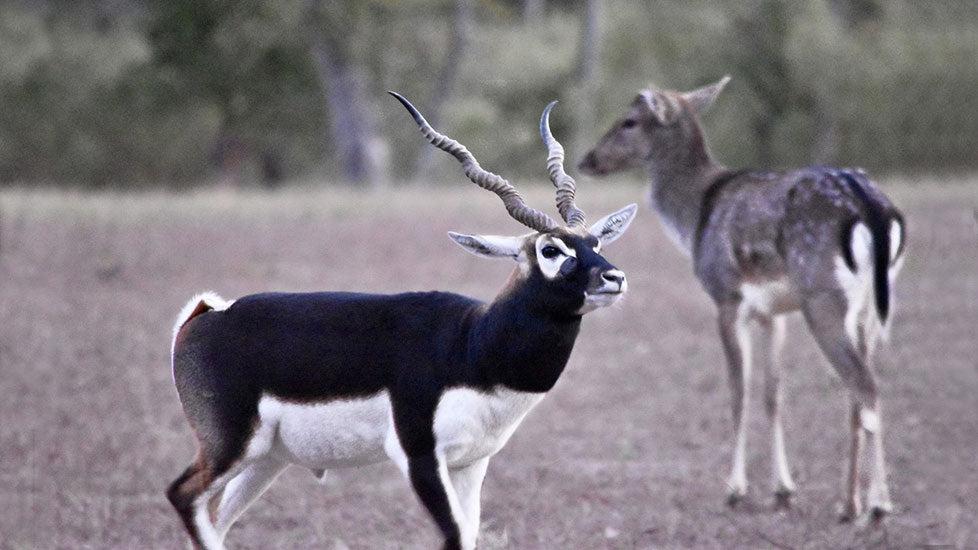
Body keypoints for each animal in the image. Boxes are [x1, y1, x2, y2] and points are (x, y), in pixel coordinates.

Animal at [166, 95, 640, 550]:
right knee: (183, 496)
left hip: (264, 459)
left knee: (214, 519)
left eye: (595, 243)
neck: (473, 346)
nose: (614, 278)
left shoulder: (471, 463)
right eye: (551, 250)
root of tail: (207, 314)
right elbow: (454, 536)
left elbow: (471, 534)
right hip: (230, 445)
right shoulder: (419, 456)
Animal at [576, 76, 904, 520]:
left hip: (822, 296)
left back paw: (879, 504)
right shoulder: (774, 311)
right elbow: (773, 393)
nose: (587, 159)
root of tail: (872, 208)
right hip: (869, 306)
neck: (695, 218)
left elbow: (738, 391)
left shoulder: (726, 295)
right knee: (856, 390)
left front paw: (735, 490)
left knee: (865, 385)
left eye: (629, 121)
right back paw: (848, 503)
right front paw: (783, 490)